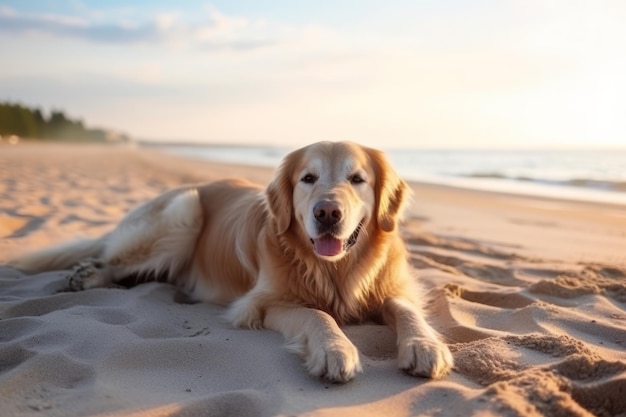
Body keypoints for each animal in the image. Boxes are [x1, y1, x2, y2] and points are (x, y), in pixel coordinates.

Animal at [8, 140, 448, 380]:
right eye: (308, 179)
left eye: (357, 179)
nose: (326, 213)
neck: (336, 267)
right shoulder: (261, 304)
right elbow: (317, 314)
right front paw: (335, 349)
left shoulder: (392, 289)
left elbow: (405, 309)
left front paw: (425, 345)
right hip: (184, 211)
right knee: (113, 258)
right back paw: (88, 276)